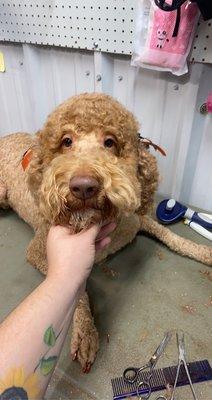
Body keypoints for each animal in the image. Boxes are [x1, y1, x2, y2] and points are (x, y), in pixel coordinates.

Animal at [0, 91, 212, 372]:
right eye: (66, 141)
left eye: (110, 142)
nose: (83, 186)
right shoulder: (39, 251)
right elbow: (78, 290)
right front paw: (85, 332)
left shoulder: (138, 221)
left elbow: (172, 237)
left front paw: (203, 251)